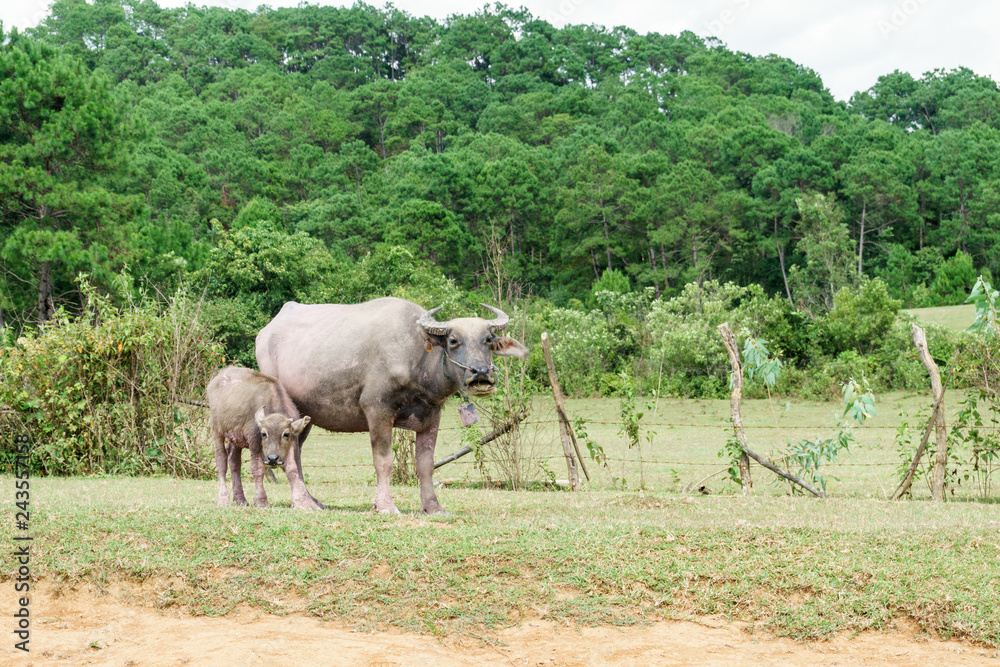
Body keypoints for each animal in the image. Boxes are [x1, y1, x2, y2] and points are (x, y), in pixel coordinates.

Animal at [206, 366, 311, 508]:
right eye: (263, 434)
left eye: (286, 434)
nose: (272, 459)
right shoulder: (254, 441)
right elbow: (258, 469)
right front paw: (261, 500)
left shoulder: (293, 442)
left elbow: (293, 469)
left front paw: (302, 502)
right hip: (217, 429)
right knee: (221, 460)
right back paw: (223, 499)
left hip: (235, 438)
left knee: (234, 461)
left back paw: (241, 499)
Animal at [255, 297, 529, 514]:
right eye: (453, 341)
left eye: (488, 339)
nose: (480, 373)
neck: (415, 356)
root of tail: (265, 333)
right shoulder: (377, 410)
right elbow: (384, 459)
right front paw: (385, 505)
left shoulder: (432, 416)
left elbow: (426, 464)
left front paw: (433, 507)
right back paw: (301, 502)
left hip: (305, 415)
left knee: (297, 449)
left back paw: (312, 500)